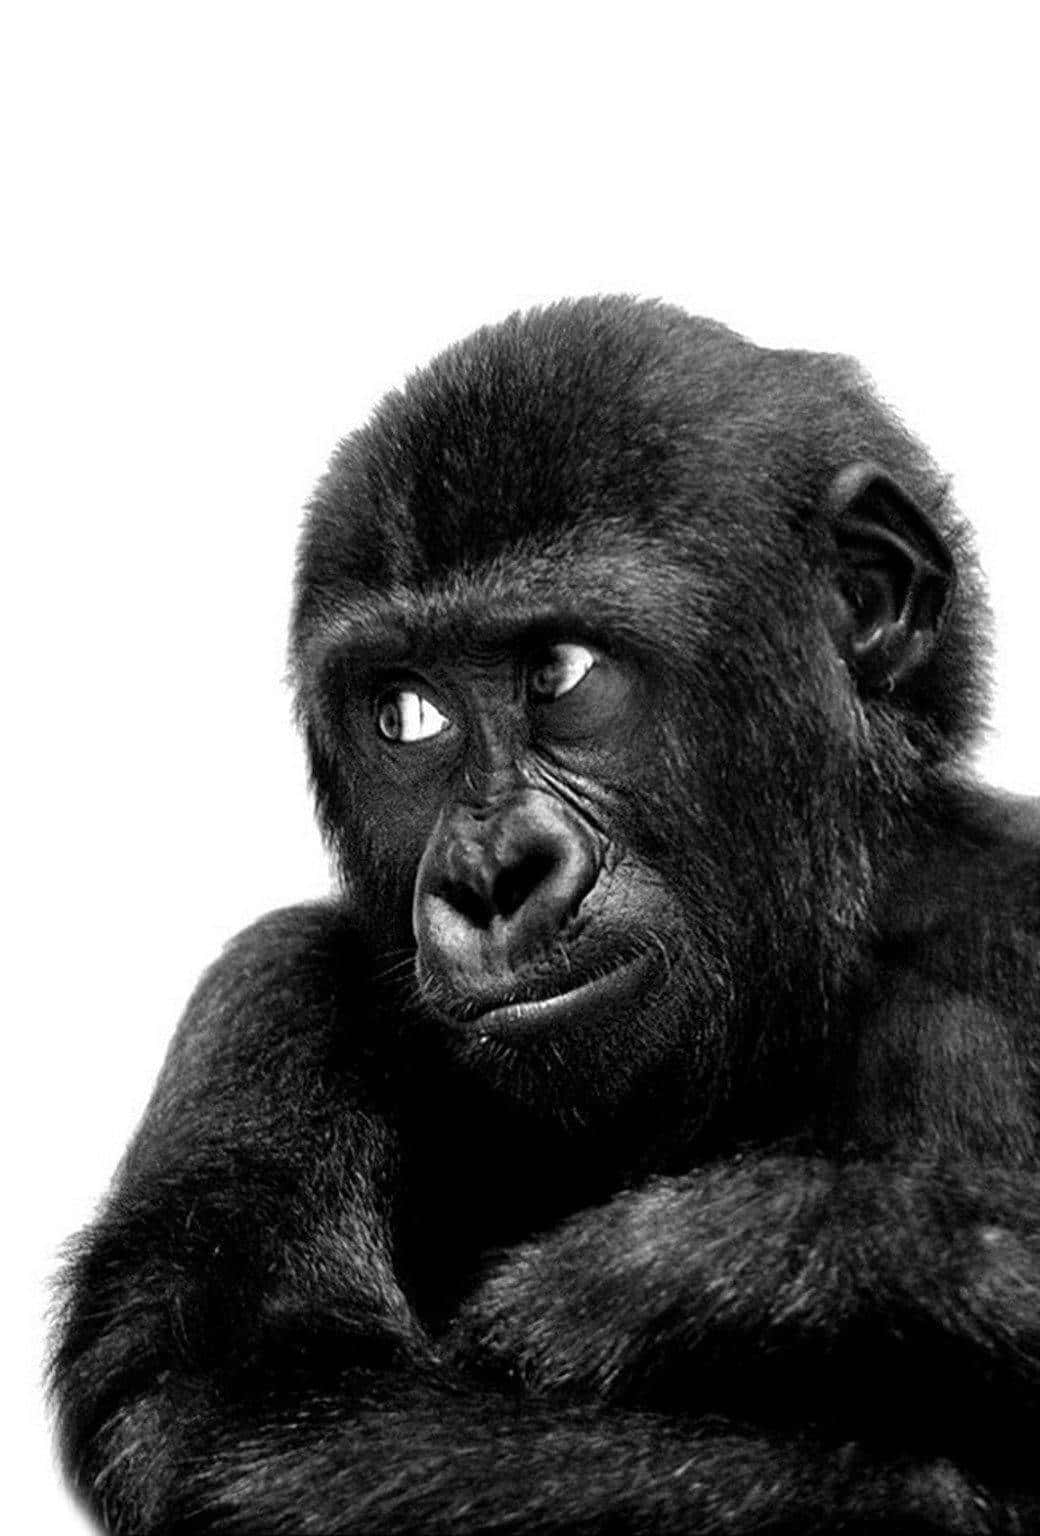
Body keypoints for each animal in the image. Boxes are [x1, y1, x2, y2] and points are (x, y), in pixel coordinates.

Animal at [51, 297, 1040, 1534]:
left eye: (561, 672)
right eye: (407, 713)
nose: (489, 875)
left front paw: (726, 1264)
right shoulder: (270, 993)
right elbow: (246, 1414)